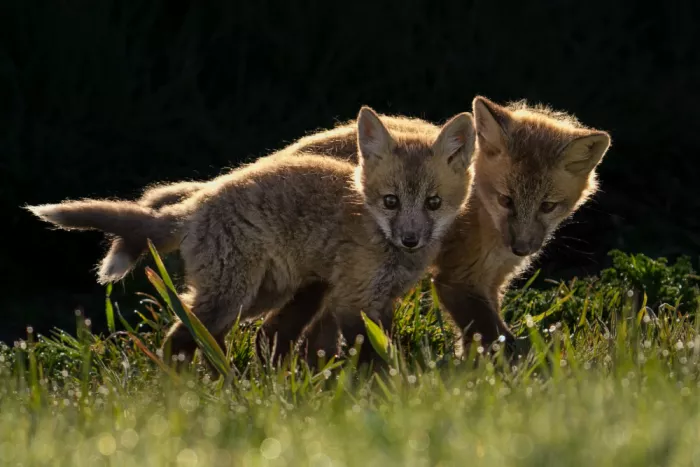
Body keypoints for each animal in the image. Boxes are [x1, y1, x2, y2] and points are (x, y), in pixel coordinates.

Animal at [25, 106, 476, 366]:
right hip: (233, 296)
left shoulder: (379, 300)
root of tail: (199, 203)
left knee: (225, 337)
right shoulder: (354, 299)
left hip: (260, 296)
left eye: (434, 203)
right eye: (390, 201)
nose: (411, 240)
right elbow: (374, 359)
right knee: (179, 339)